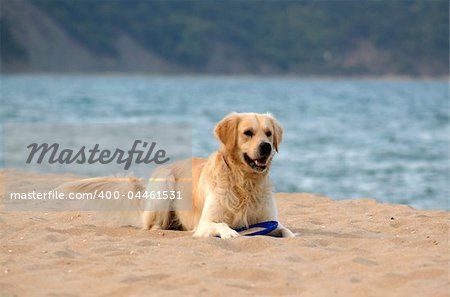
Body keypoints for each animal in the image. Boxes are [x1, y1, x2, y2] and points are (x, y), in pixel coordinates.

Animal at [57, 111, 296, 238]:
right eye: (248, 133)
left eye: (268, 133)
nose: (266, 147)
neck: (244, 182)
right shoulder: (206, 222)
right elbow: (221, 224)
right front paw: (230, 233)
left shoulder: (269, 219)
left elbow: (284, 229)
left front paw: (292, 235)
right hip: (165, 185)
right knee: (152, 225)